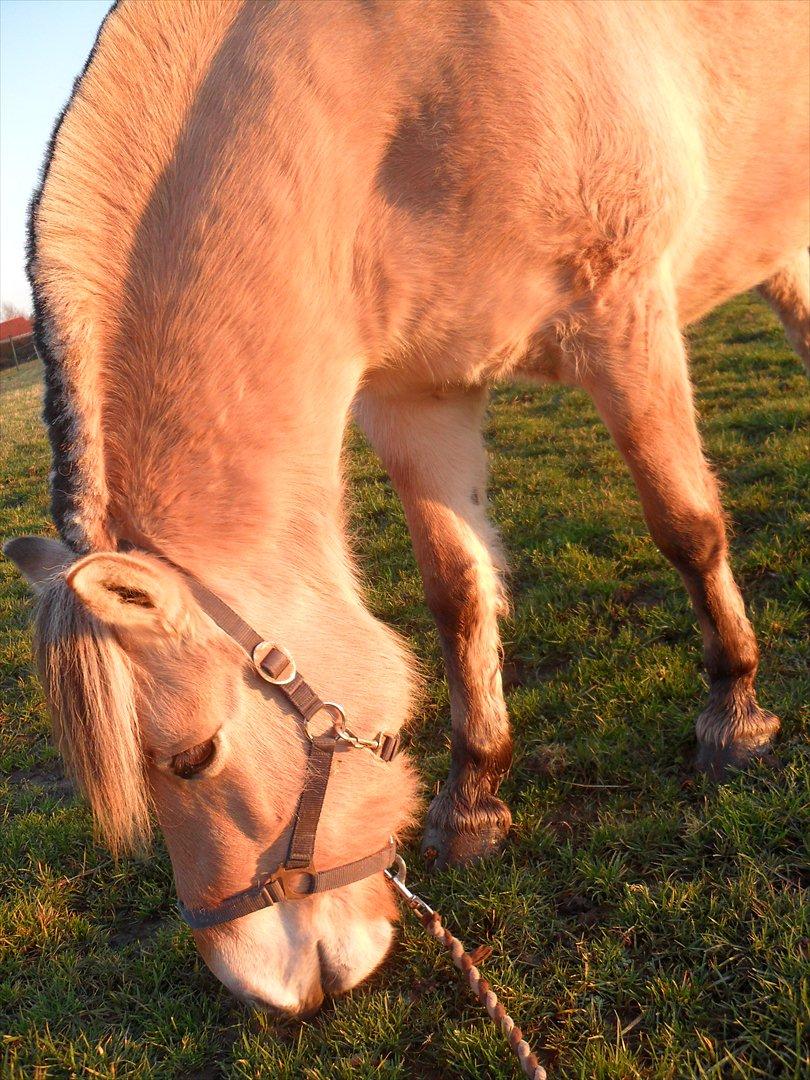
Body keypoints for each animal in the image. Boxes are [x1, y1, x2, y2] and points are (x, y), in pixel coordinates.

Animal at [6, 0, 810, 1010]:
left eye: (192, 757)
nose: (272, 994)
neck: (397, 85)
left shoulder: (624, 322)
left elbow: (685, 529)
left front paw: (735, 716)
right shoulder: (417, 400)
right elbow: (456, 595)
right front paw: (474, 804)